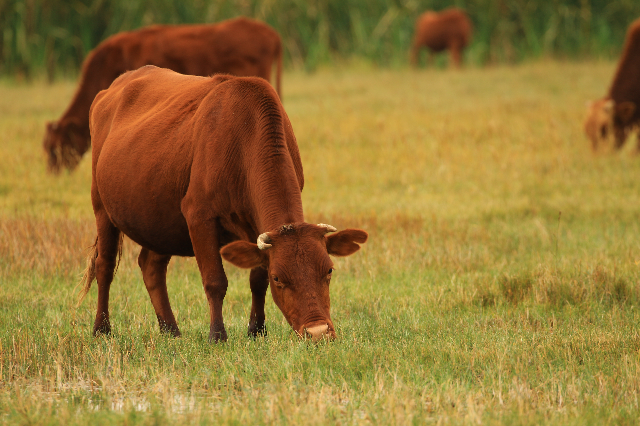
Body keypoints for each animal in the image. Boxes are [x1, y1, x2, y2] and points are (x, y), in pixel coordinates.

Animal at [80, 66, 370, 344]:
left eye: (329, 270)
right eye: (279, 277)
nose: (318, 332)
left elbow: (256, 279)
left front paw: (257, 331)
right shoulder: (198, 215)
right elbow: (215, 280)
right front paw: (217, 335)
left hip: (159, 218)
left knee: (151, 266)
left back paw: (171, 330)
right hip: (101, 207)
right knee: (105, 265)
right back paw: (101, 329)